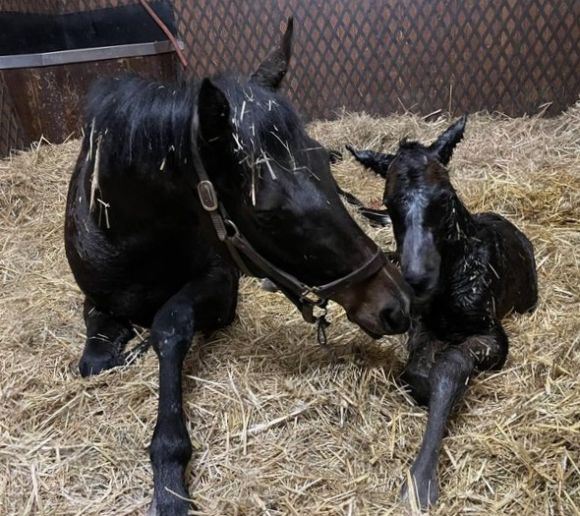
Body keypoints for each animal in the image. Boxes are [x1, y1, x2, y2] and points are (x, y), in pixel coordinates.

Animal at [346, 117, 536, 508]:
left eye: (445, 197)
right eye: (388, 202)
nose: (417, 279)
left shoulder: (493, 334)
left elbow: (449, 366)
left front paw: (420, 482)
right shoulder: (420, 324)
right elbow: (417, 370)